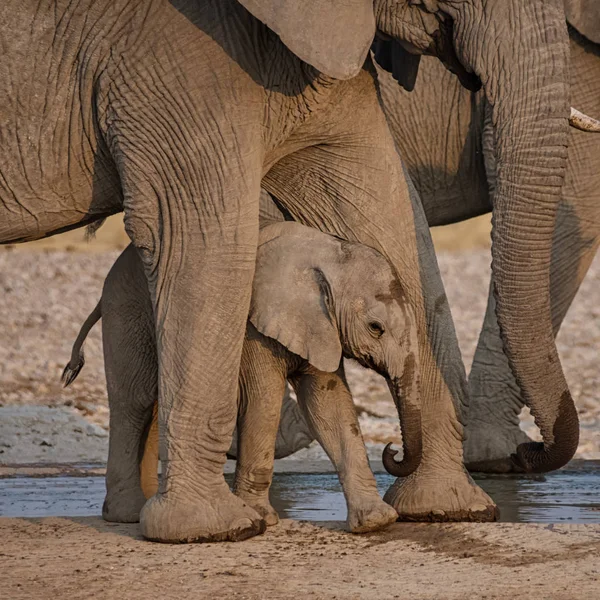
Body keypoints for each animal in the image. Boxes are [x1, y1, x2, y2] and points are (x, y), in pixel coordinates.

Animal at [63, 219, 422, 536]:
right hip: (126, 310)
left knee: (151, 404)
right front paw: (262, 518)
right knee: (133, 403)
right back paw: (125, 514)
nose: (392, 449)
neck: (327, 253)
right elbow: (264, 398)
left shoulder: (321, 326)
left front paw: (376, 522)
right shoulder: (253, 326)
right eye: (376, 328)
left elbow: (329, 404)